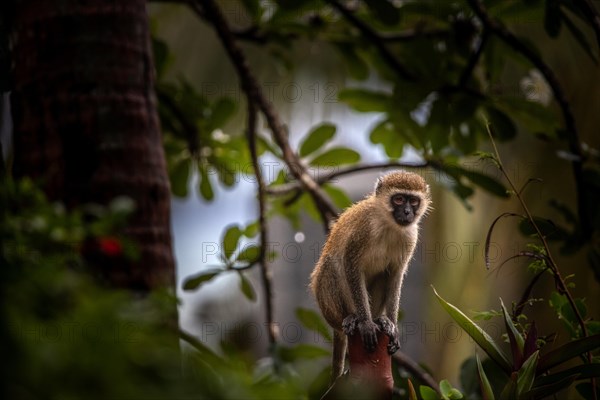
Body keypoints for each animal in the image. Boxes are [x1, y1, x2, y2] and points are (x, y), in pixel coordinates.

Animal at [310, 171, 432, 378]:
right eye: (399, 199)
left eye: (414, 201)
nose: (407, 212)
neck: (388, 223)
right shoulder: (363, 230)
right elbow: (351, 266)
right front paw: (366, 324)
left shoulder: (410, 237)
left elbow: (395, 276)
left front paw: (392, 326)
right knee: (333, 264)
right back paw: (352, 318)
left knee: (384, 275)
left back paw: (380, 319)